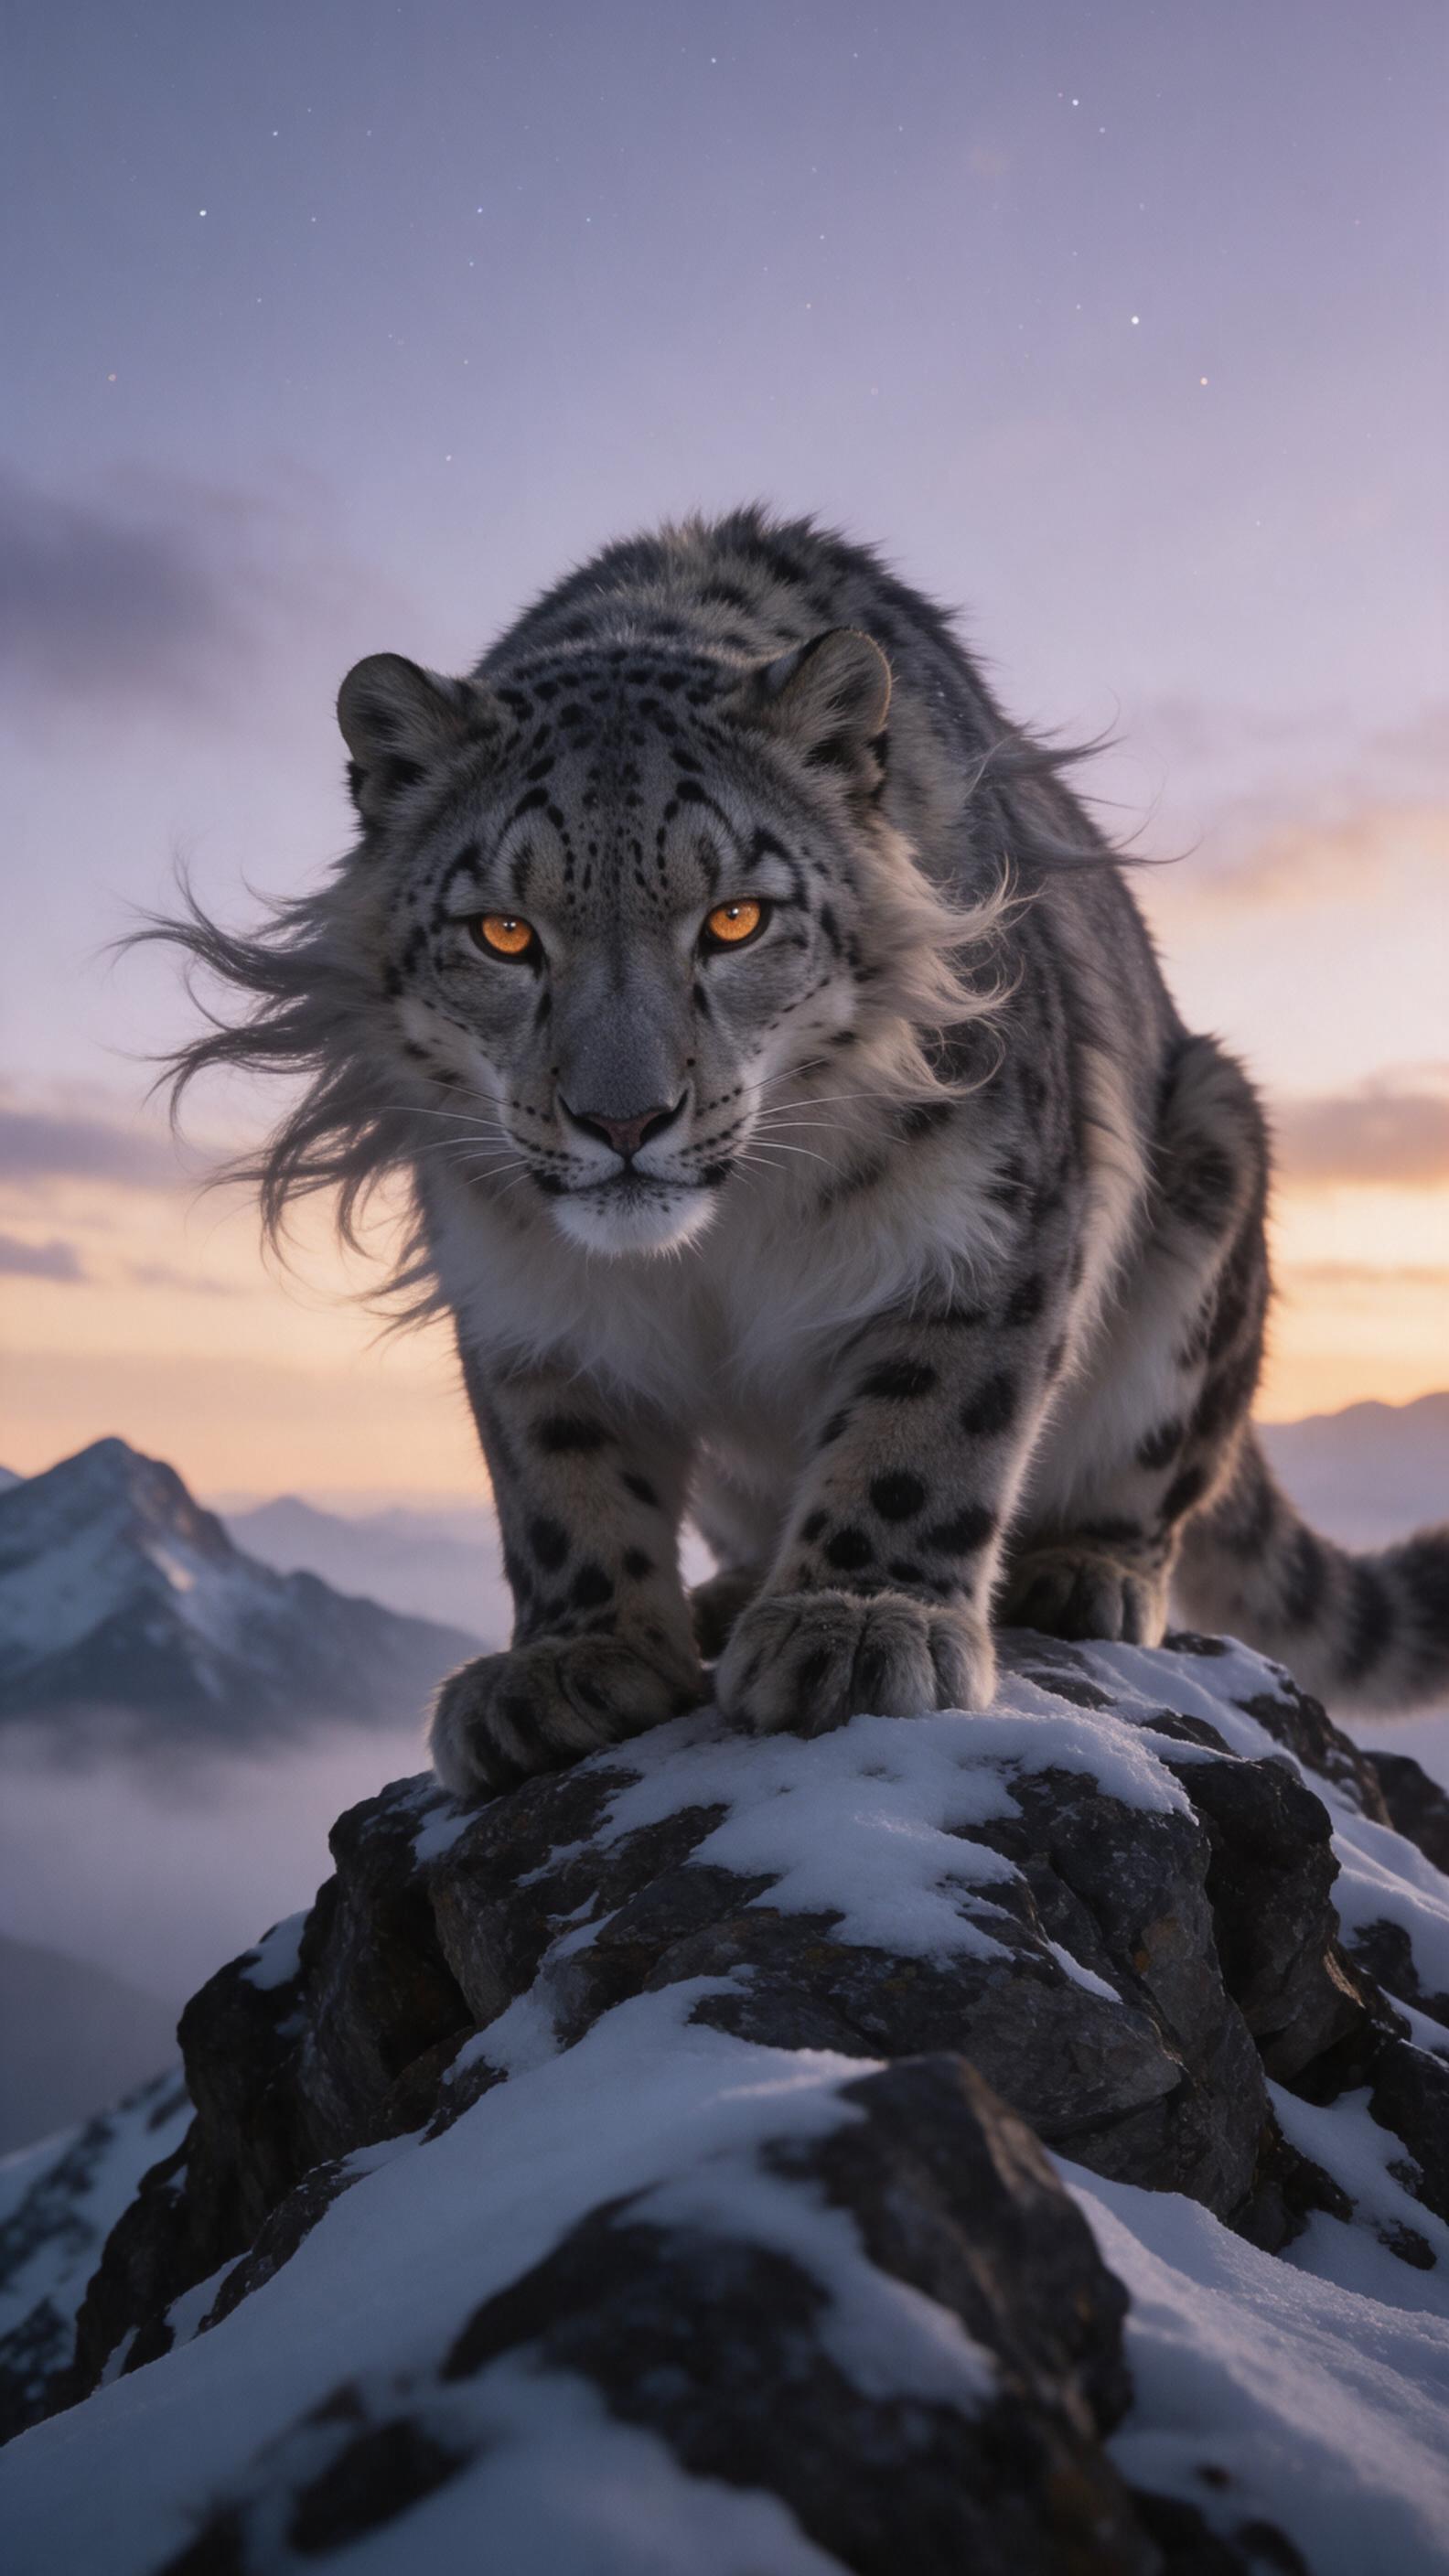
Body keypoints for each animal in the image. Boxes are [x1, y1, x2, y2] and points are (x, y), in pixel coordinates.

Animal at [146, 506, 1449, 1799]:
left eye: (735, 917)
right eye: (505, 932)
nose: (625, 1119)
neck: (714, 1253)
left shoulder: (981, 1223)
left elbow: (931, 1416)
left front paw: (859, 1620)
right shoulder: (518, 1278)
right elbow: (556, 1462)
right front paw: (573, 1657)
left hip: (1212, 1159)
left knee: (1164, 1472)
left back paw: (1082, 1569)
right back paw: (725, 1592)